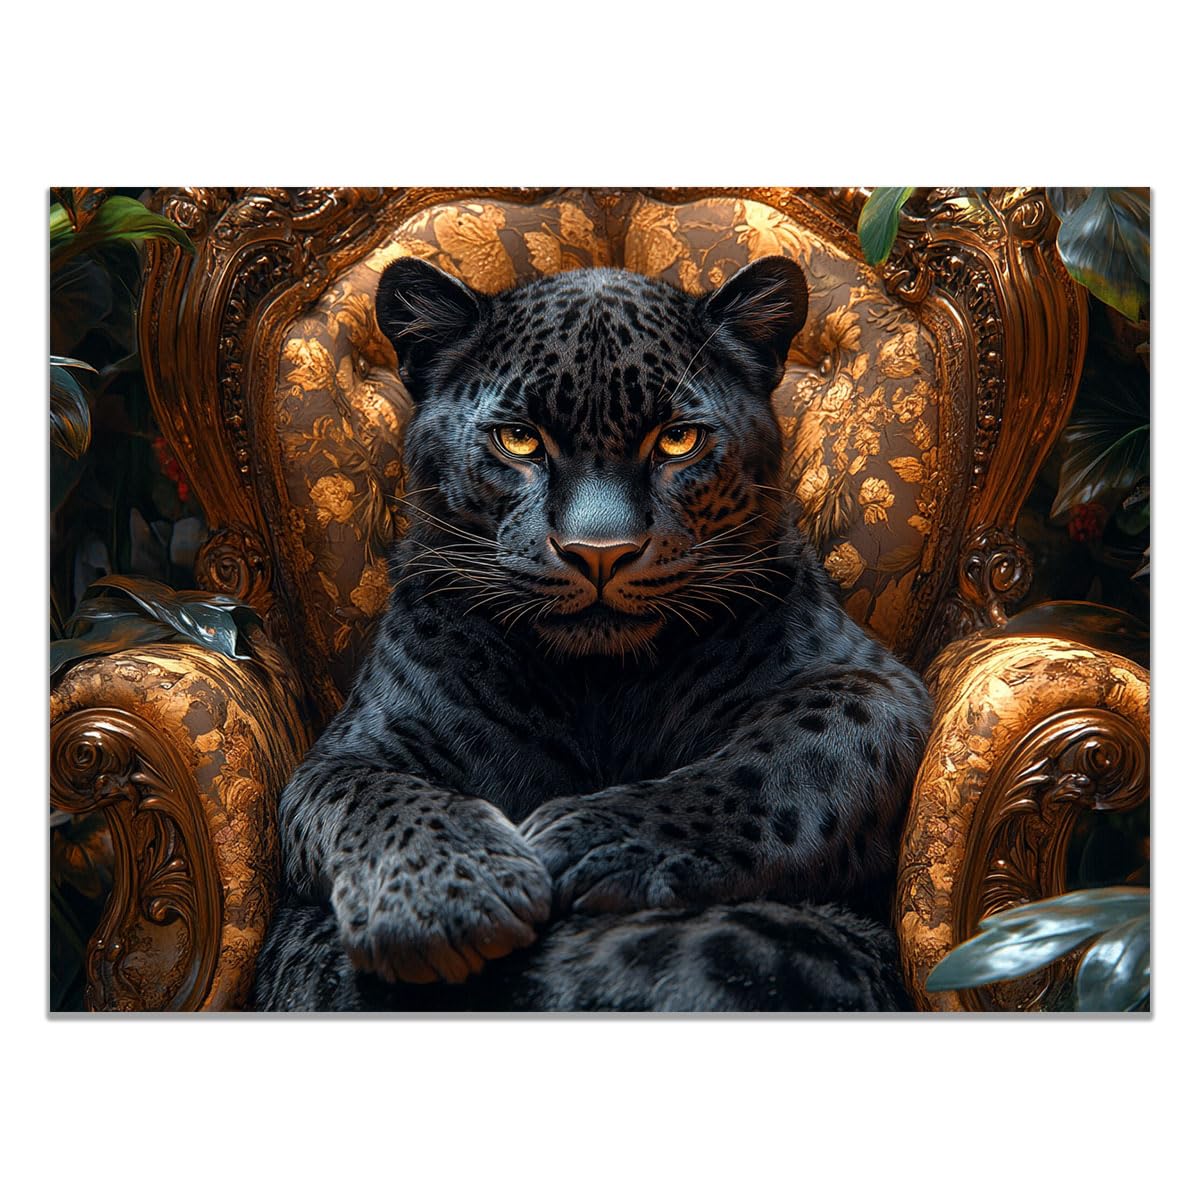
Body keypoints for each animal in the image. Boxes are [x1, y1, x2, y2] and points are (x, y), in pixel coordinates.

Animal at [252, 253, 933, 1012]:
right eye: (519, 439)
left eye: (678, 440)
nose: (599, 552)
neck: (597, 688)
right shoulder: (353, 748)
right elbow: (377, 798)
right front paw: (446, 899)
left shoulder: (872, 681)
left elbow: (786, 759)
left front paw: (586, 842)